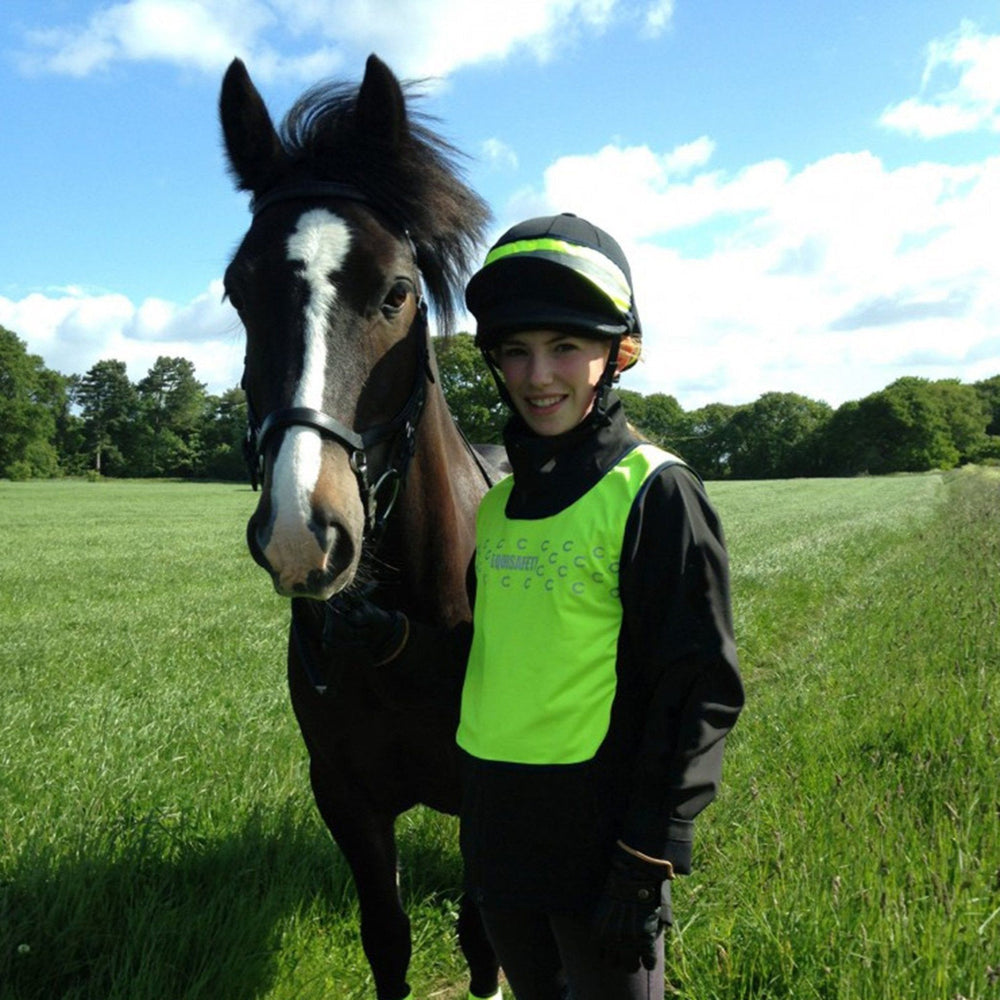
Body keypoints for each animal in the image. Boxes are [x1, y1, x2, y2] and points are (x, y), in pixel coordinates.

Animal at [219, 56, 502, 1000]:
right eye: (238, 291)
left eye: (397, 293)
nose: (303, 532)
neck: (404, 624)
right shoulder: (345, 796)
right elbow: (389, 939)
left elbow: (484, 938)